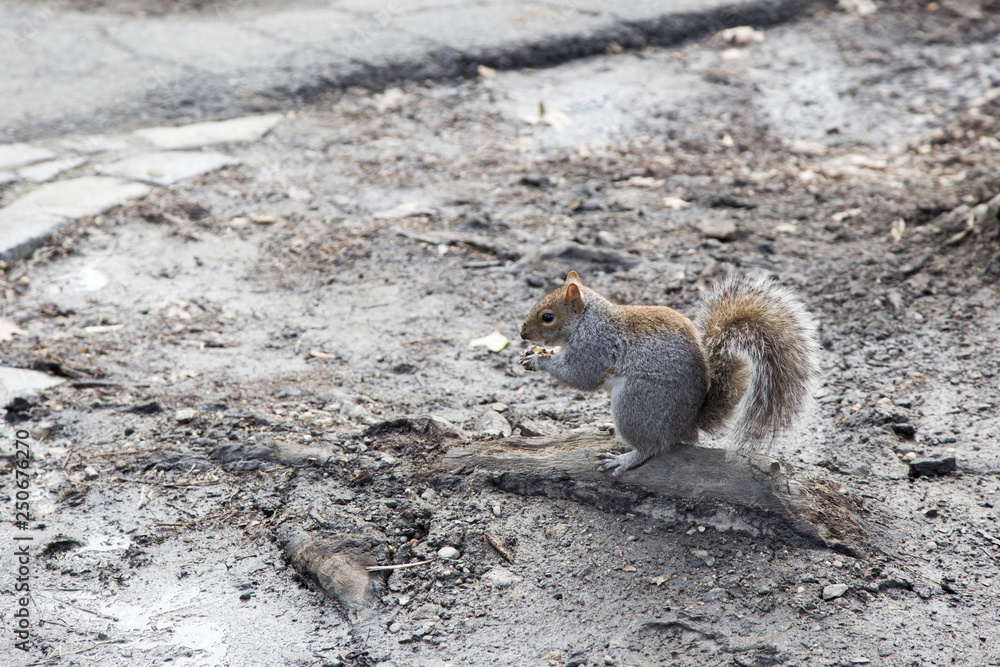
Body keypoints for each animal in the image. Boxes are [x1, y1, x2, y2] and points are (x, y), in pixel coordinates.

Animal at [518, 270, 819, 478]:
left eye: (547, 317)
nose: (522, 334)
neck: (587, 321)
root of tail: (688, 425)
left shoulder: (595, 348)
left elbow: (580, 376)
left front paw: (538, 360)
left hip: (636, 403)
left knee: (653, 446)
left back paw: (624, 459)